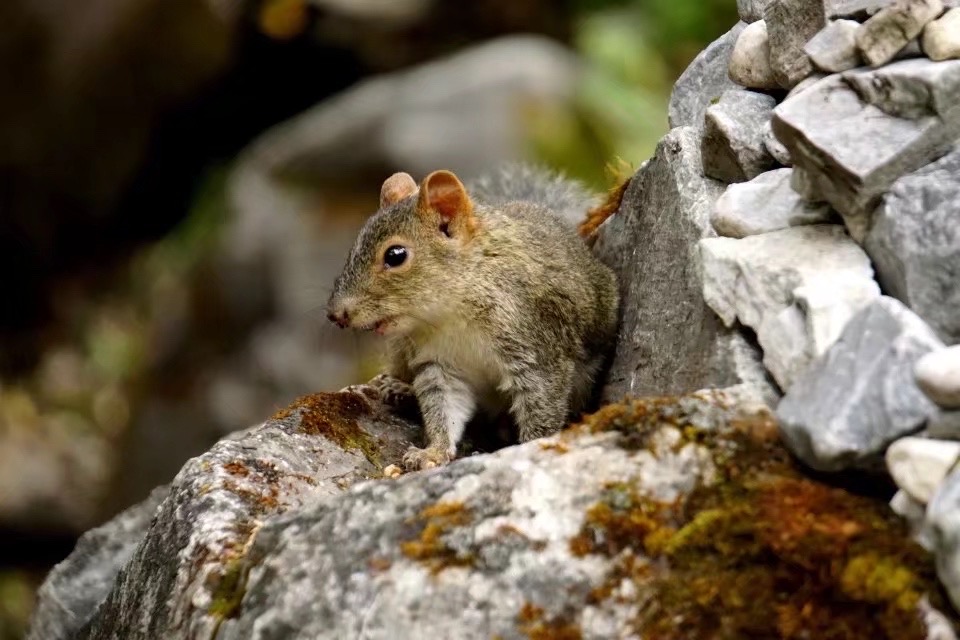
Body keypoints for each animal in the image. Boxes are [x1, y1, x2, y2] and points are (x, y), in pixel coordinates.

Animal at [326, 165, 620, 470]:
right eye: (354, 248)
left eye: (396, 255)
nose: (336, 314)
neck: (454, 312)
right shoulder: (439, 363)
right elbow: (444, 409)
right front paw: (433, 452)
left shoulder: (537, 349)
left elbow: (542, 405)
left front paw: (531, 446)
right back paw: (399, 388)